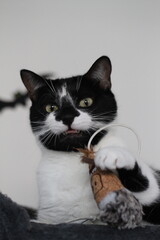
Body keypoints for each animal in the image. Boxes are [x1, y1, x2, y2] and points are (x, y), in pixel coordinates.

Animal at [21, 56, 160, 225]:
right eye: (51, 107)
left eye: (86, 102)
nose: (67, 116)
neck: (75, 158)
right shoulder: (49, 217)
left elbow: (149, 191)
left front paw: (113, 154)